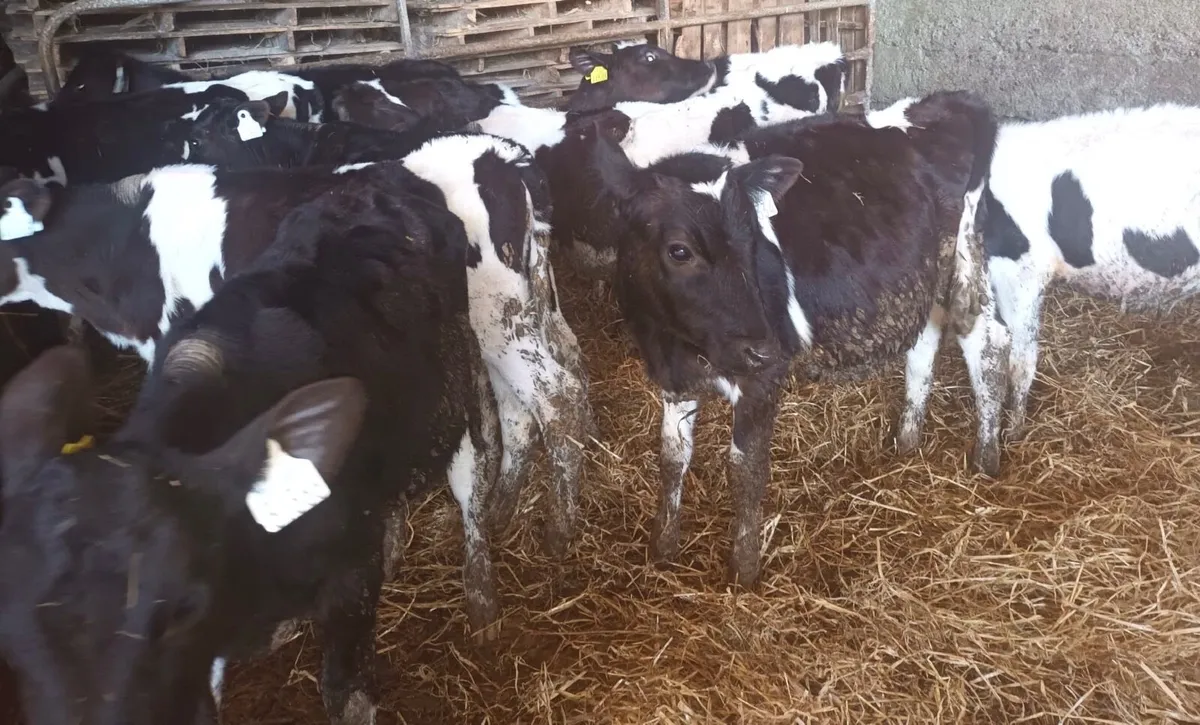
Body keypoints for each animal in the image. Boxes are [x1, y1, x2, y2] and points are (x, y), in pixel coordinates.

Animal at [586, 92, 1008, 586]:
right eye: (679, 250)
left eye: (753, 242)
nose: (763, 345)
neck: (673, 341)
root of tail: (942, 102)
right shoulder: (672, 374)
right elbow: (672, 456)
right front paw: (662, 549)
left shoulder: (763, 376)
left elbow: (745, 467)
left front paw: (744, 570)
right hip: (920, 277)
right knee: (924, 343)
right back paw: (907, 442)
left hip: (965, 264)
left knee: (989, 347)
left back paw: (986, 460)